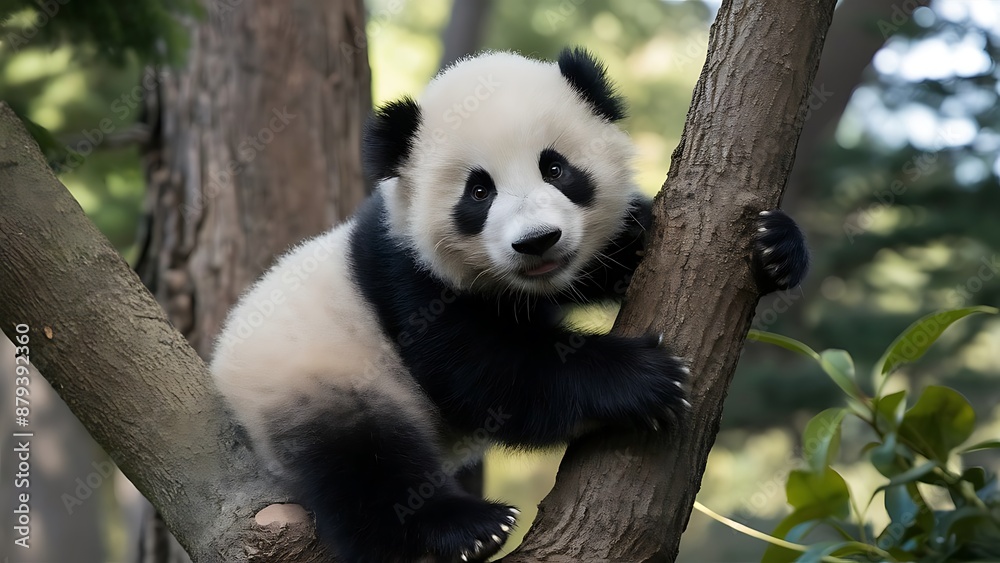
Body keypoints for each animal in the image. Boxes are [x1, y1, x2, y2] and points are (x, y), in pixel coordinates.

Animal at [211, 48, 809, 563]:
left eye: (555, 168)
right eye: (479, 191)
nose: (538, 241)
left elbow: (619, 249)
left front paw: (773, 247)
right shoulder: (409, 280)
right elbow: (485, 373)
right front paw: (644, 376)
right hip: (315, 376)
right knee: (364, 466)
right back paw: (467, 528)